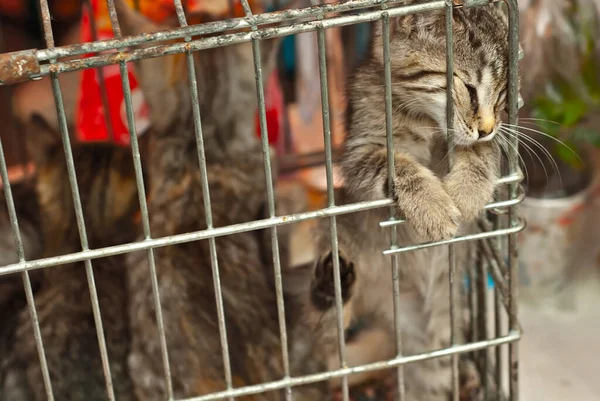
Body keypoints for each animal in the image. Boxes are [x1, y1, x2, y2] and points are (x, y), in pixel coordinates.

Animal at [314, 3, 510, 400]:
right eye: (469, 88)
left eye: (501, 92)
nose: (486, 127)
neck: (426, 119)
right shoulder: (360, 153)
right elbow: (396, 167)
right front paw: (433, 208)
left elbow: (484, 151)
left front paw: (467, 191)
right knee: (324, 345)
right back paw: (330, 286)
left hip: (442, 327)